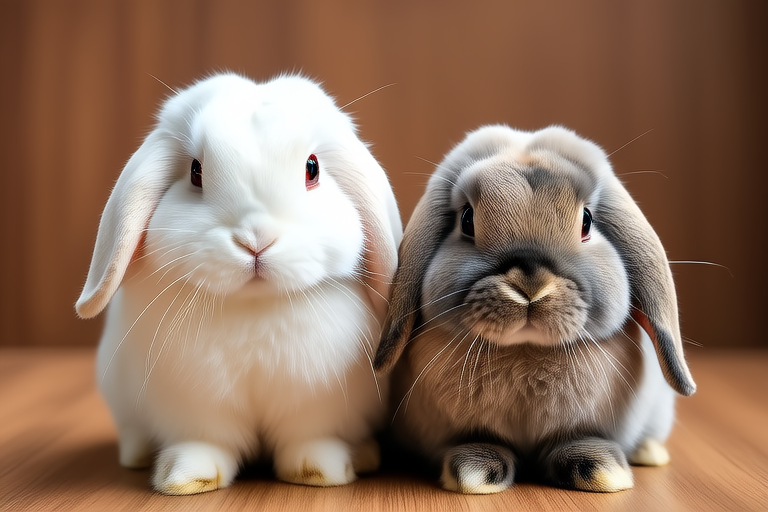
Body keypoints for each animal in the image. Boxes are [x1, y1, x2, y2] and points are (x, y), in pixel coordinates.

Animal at [75, 73, 402, 495]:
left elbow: (311, 438)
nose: (255, 240)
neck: (254, 307)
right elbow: (204, 441)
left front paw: (320, 472)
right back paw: (137, 455)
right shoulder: (194, 405)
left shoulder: (318, 404)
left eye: (312, 169)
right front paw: (187, 478)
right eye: (196, 172)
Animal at [373, 125, 696, 494]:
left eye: (586, 222)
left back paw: (649, 452)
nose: (530, 285)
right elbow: (476, 443)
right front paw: (475, 473)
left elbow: (578, 441)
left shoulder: (582, 427)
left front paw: (599, 471)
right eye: (467, 220)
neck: (525, 351)